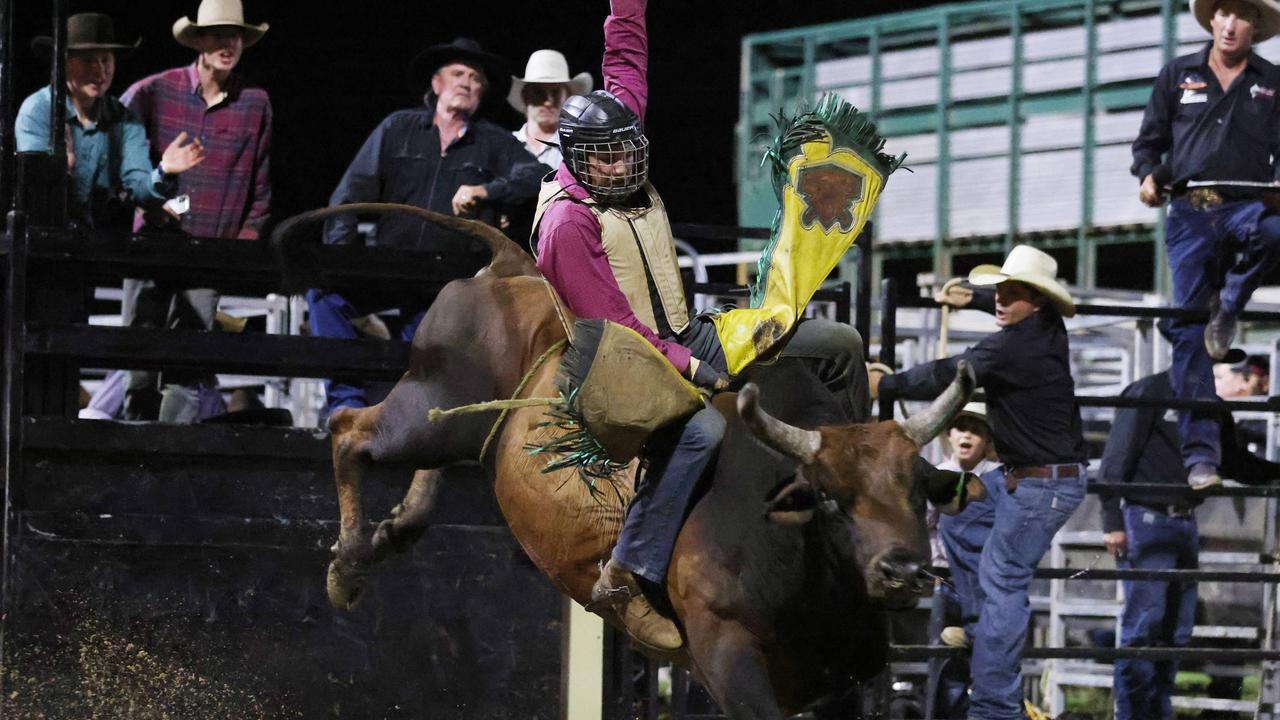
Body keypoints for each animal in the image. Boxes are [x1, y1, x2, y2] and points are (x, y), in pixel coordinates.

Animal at [280, 202, 972, 717]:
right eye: (830, 497)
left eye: (919, 490)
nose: (905, 571)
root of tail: (511, 265)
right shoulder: (728, 658)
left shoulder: (848, 680)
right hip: (428, 403)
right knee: (347, 433)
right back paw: (347, 566)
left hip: (451, 421)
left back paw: (397, 528)